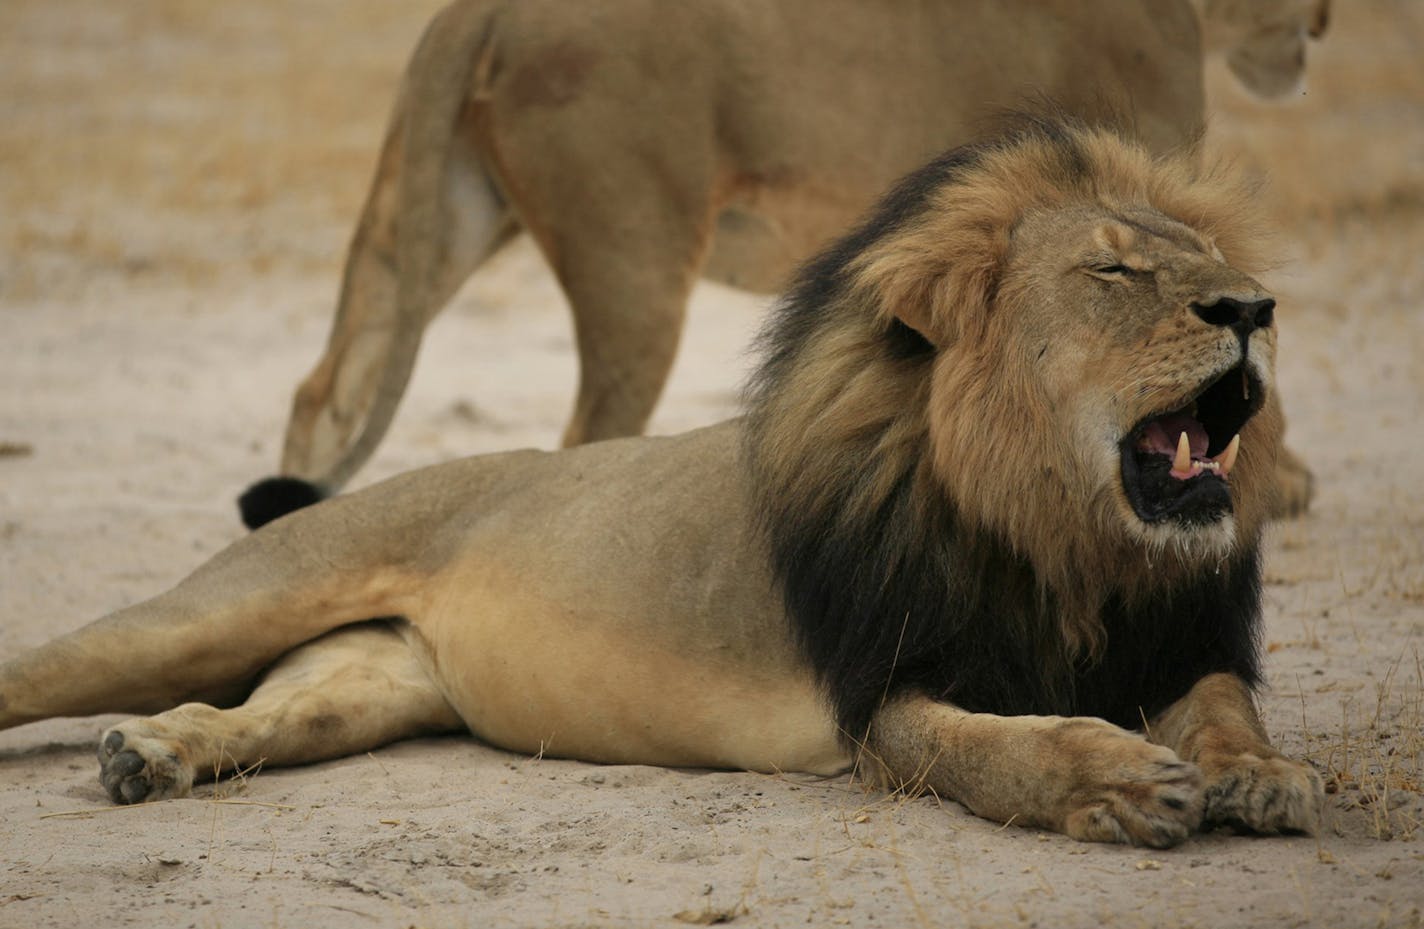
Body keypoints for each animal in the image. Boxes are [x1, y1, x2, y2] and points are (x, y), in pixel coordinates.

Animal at [0, 119, 1315, 843]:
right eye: (1112, 271)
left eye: (1209, 260)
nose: (1252, 310)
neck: (1064, 544)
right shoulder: (884, 697)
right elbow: (1002, 751)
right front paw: (1117, 781)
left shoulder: (1176, 642)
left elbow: (1222, 709)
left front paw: (1256, 776)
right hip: (219, 606)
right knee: (54, 664)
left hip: (365, 686)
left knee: (256, 715)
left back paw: (150, 756)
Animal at [242, 0, 1321, 530]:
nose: (1323, 21)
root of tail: (478, 9)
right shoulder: (1143, 173)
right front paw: (1275, 483)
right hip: (636, 259)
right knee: (586, 436)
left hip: (434, 217)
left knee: (325, 385)